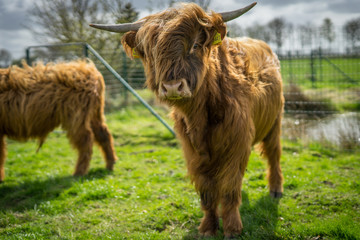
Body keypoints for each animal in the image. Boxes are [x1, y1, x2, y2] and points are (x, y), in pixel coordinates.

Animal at [90, 1, 284, 237]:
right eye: (151, 52)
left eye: (195, 45)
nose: (173, 86)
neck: (200, 117)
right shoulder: (193, 149)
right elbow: (206, 190)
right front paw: (208, 228)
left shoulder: (236, 143)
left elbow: (229, 186)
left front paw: (232, 229)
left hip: (275, 120)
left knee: (273, 154)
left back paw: (276, 190)